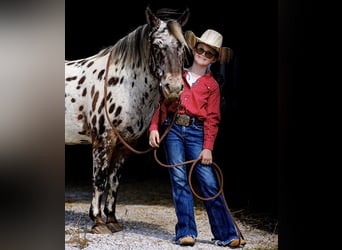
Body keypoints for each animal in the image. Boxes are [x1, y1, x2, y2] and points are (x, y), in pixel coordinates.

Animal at [65, 7, 190, 234]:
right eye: (156, 45)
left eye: (182, 47)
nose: (174, 88)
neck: (121, 85)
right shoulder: (103, 141)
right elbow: (100, 179)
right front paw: (97, 221)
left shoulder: (126, 144)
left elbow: (114, 181)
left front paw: (112, 220)